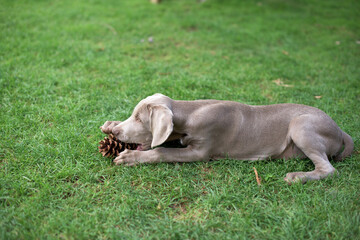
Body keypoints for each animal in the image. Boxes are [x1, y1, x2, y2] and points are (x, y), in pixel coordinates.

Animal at [100, 93, 352, 183]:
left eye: (139, 119)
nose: (117, 133)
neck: (189, 114)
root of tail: (341, 131)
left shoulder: (200, 152)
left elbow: (162, 150)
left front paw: (130, 157)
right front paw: (110, 125)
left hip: (301, 125)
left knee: (329, 169)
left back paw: (297, 177)